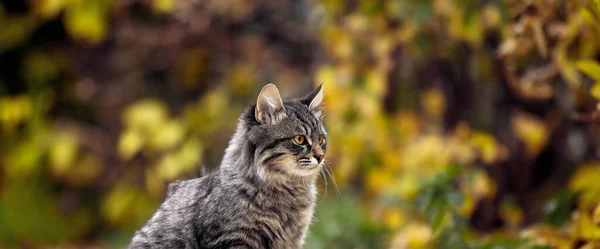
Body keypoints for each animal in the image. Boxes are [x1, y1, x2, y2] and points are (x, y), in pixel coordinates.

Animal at [127, 83, 330, 249]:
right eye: (300, 139)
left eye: (321, 139)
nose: (321, 157)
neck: (288, 191)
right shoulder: (232, 237)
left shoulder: (292, 239)